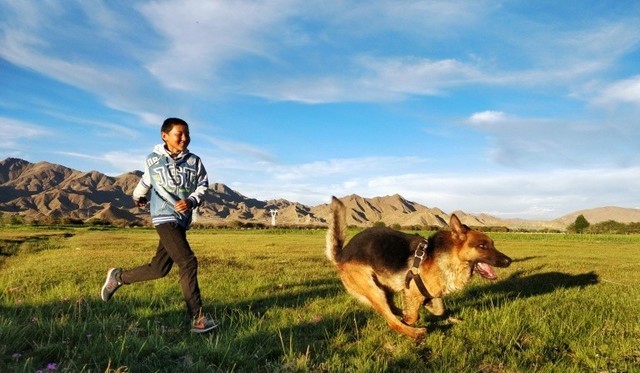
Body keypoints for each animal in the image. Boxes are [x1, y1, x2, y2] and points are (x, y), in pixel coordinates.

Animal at [324, 196, 510, 338]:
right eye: (482, 246)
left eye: (492, 244)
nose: (509, 261)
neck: (450, 257)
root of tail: (341, 255)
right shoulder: (413, 291)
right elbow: (413, 315)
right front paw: (411, 321)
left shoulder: (431, 293)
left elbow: (439, 310)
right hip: (373, 290)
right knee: (391, 320)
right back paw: (414, 332)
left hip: (384, 288)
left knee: (391, 309)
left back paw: (402, 314)